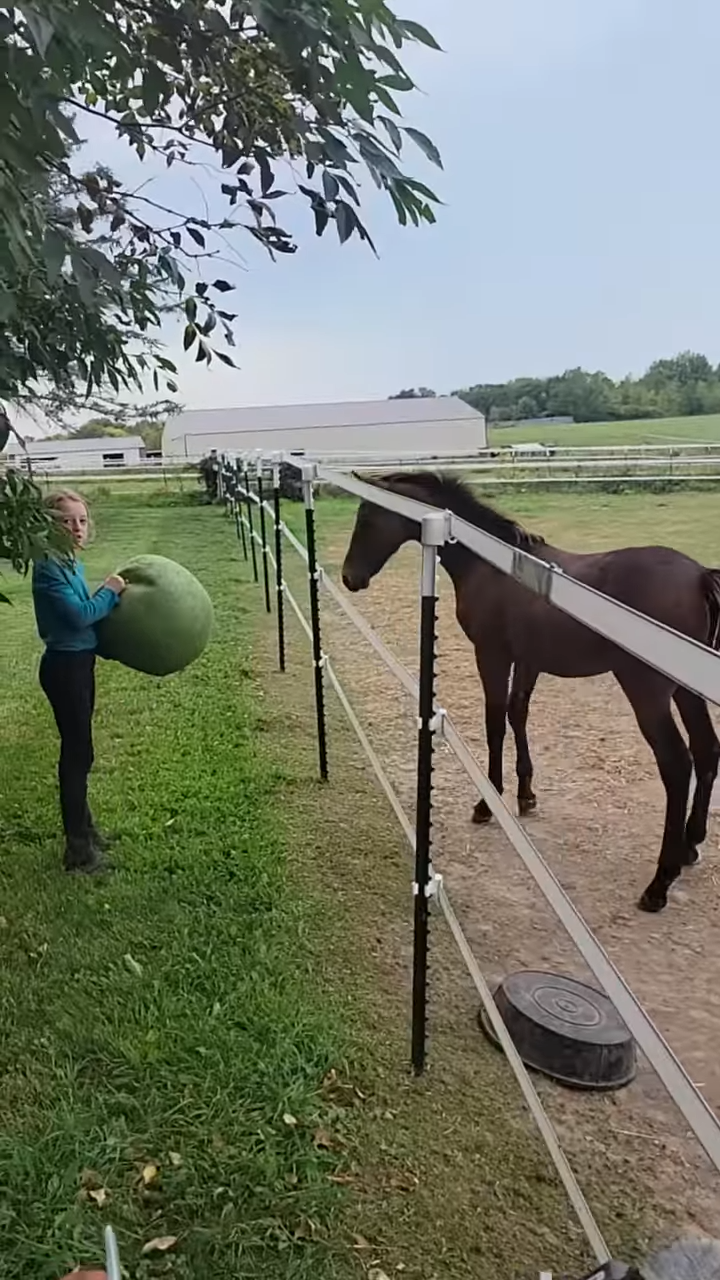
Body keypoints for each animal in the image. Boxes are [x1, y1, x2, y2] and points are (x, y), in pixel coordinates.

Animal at [338, 476, 717, 916]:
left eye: (367, 515)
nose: (350, 577)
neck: (493, 565)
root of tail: (699, 576)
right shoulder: (527, 660)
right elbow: (517, 714)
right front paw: (525, 796)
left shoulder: (492, 655)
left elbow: (495, 722)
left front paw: (487, 803)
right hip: (688, 691)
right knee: (707, 749)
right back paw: (690, 846)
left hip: (648, 691)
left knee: (677, 764)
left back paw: (659, 884)